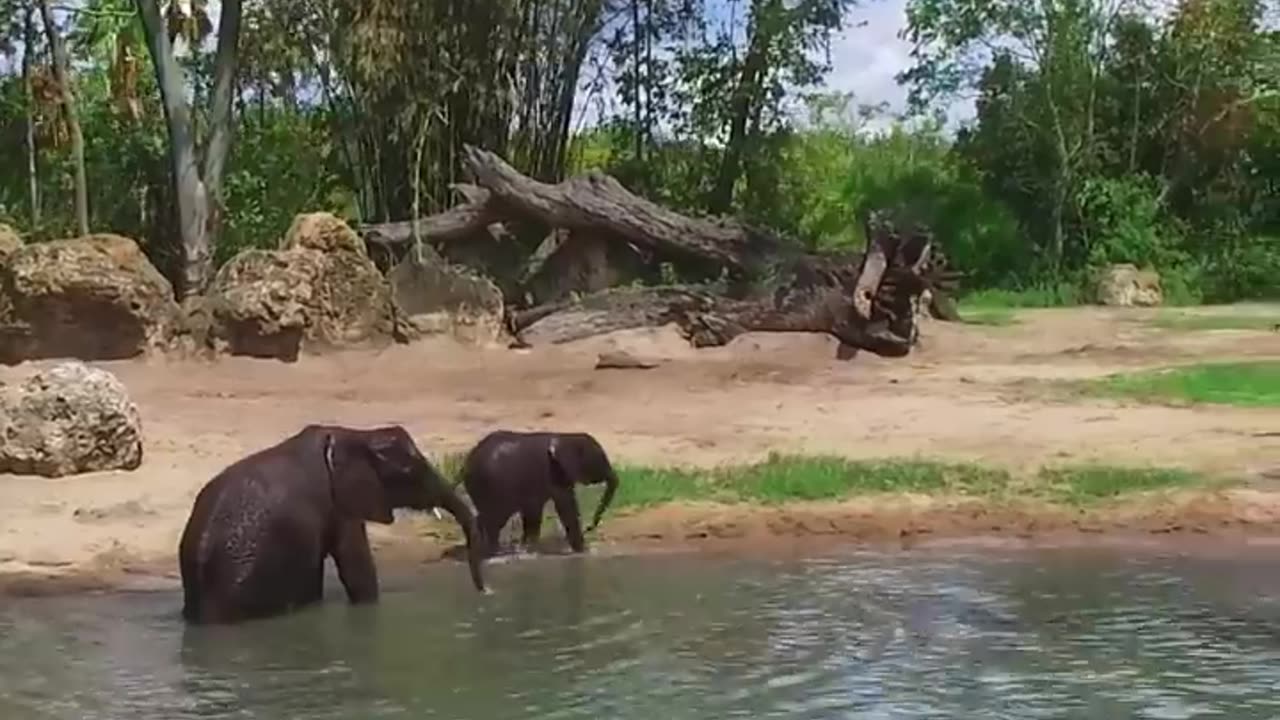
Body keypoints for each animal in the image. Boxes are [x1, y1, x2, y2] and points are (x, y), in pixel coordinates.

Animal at [460, 427, 619, 550]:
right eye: (599, 459)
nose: (589, 527)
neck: (566, 436)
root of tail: (466, 464)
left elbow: (534, 512)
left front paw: (528, 546)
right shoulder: (553, 472)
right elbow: (566, 506)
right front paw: (582, 550)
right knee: (494, 519)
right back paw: (493, 551)